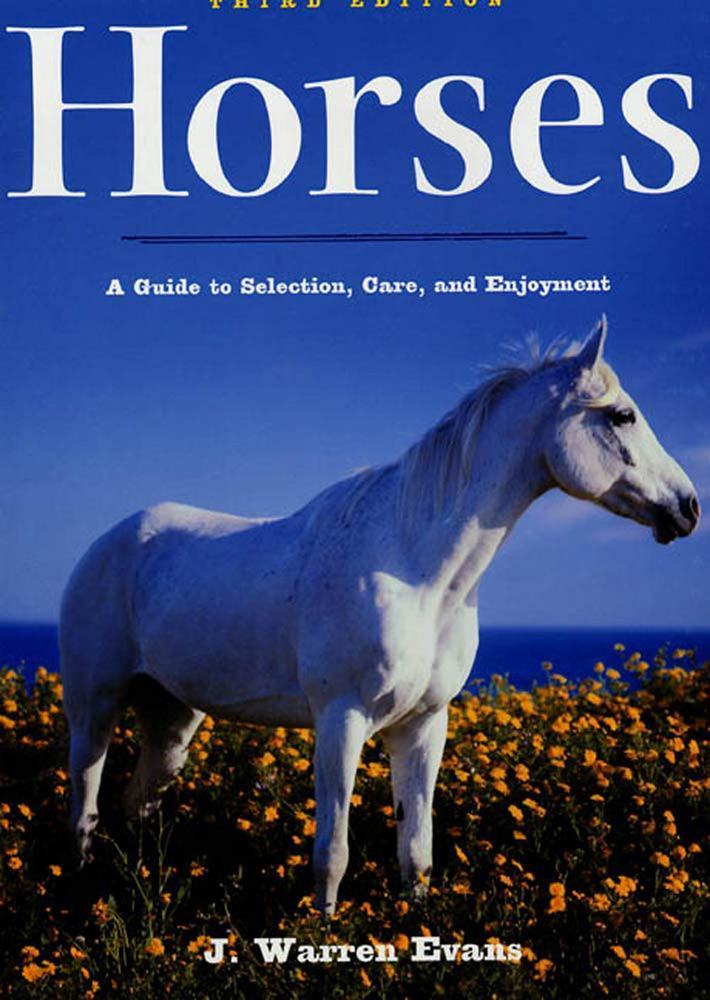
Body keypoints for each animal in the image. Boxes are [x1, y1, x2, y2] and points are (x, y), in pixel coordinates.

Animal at [60, 317, 700, 914]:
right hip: (94, 706)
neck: (416, 571)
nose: (689, 507)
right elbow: (332, 854)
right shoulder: (340, 722)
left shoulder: (423, 727)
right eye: (622, 416)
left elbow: (416, 852)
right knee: (83, 807)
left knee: (136, 803)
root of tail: (106, 543)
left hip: (171, 717)